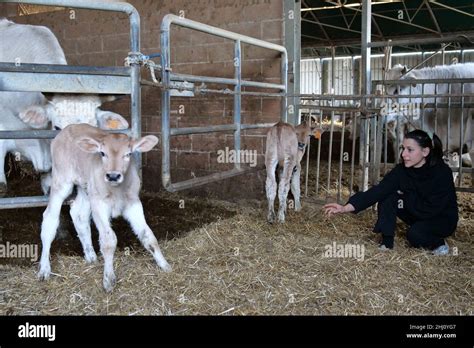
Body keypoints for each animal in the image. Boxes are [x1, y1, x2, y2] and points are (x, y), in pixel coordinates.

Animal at [38, 123, 170, 292]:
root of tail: (68, 128)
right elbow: (109, 240)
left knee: (79, 215)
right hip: (61, 181)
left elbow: (148, 236)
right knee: (49, 219)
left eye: (128, 154)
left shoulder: (133, 202)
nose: (113, 176)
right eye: (102, 153)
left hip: (87, 188)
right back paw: (44, 269)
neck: (117, 191)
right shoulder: (99, 204)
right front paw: (108, 279)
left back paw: (91, 256)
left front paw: (165, 266)